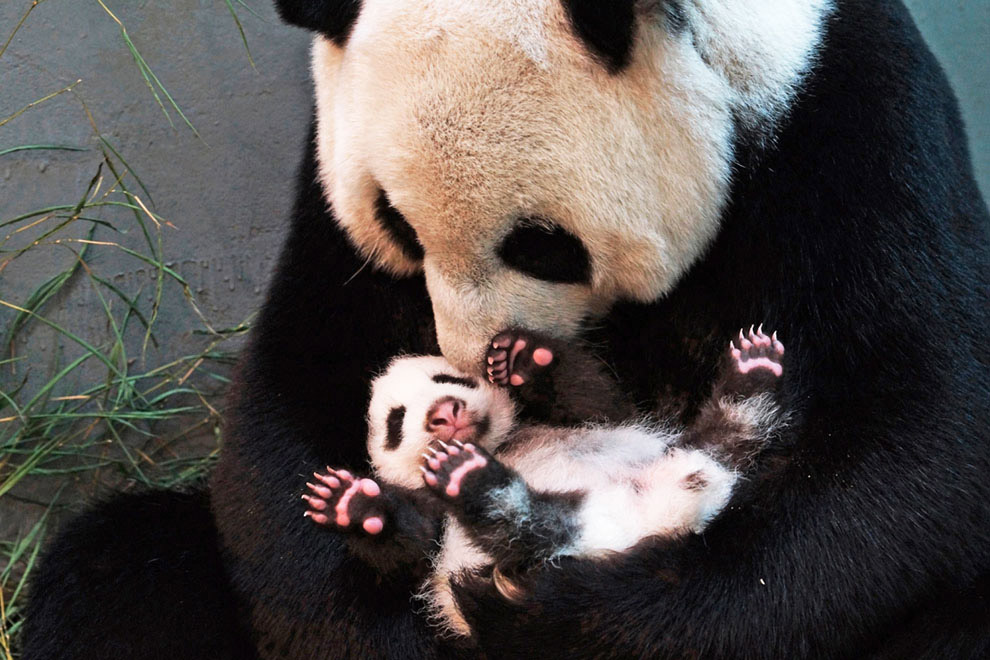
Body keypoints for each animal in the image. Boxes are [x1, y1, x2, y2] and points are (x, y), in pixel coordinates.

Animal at [21, 1, 990, 660]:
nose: (469, 363)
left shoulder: (845, 134)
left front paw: (566, 623)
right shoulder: (326, 204)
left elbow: (906, 455)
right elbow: (284, 417)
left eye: (542, 244)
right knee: (116, 568)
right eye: (398, 226)